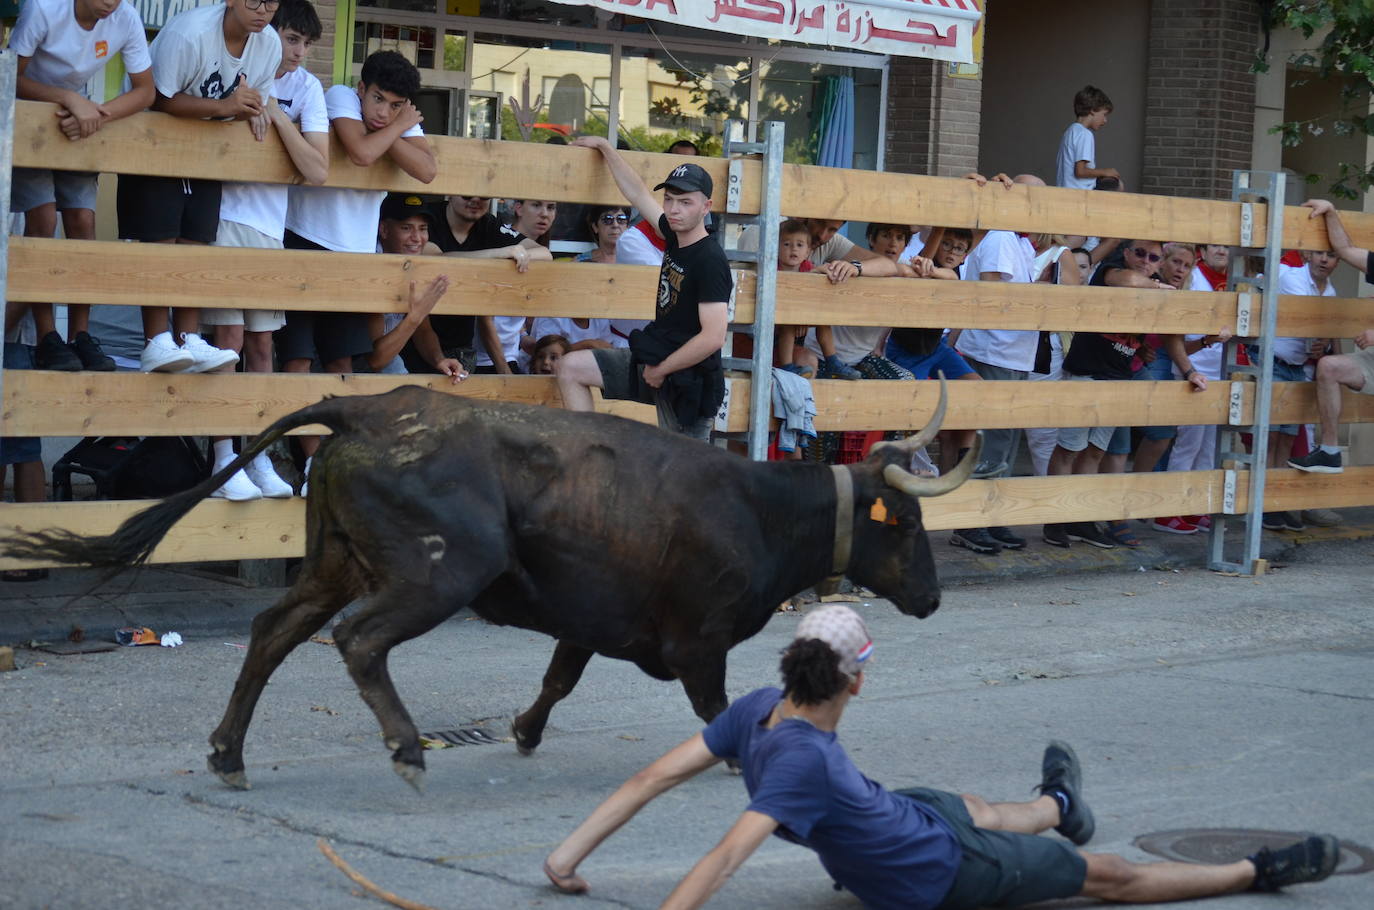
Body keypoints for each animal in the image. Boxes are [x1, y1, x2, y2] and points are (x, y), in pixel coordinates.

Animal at [5, 382, 983, 791]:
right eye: (911, 525)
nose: (933, 598)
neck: (757, 505)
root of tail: (366, 408)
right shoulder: (699, 640)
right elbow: (715, 708)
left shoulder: (593, 617)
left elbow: (559, 678)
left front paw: (522, 729)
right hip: (438, 570)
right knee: (357, 641)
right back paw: (404, 748)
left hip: (335, 562)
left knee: (273, 630)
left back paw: (228, 752)